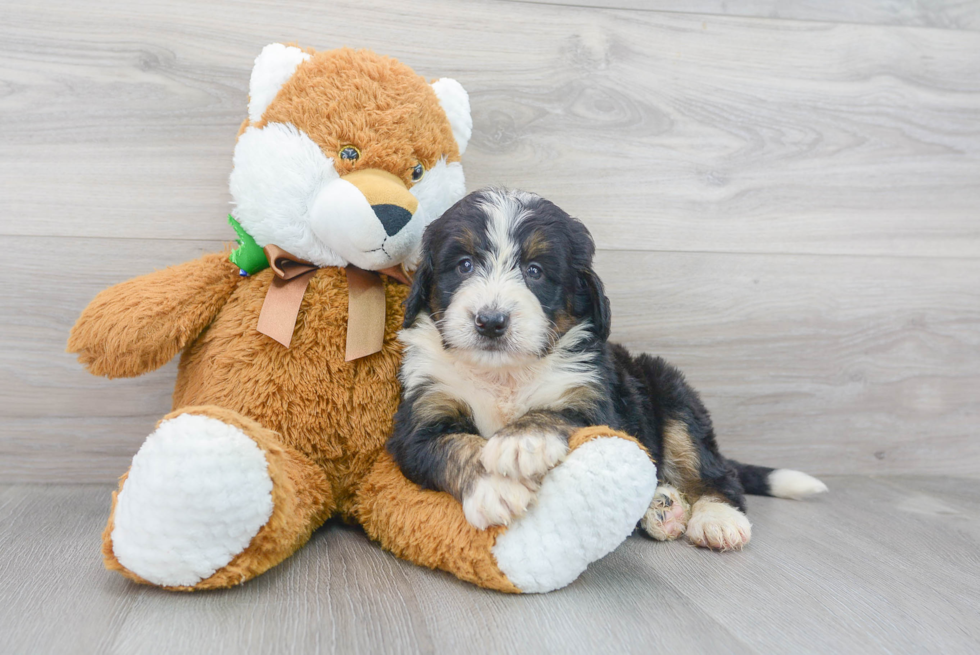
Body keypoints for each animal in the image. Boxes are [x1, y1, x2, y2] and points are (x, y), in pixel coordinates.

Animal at [390, 187, 828, 552]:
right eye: (464, 265)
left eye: (535, 271)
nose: (491, 321)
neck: (504, 374)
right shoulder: (420, 417)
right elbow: (454, 446)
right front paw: (495, 486)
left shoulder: (596, 399)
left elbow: (556, 413)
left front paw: (522, 442)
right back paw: (662, 507)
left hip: (673, 396)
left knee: (717, 475)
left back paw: (716, 520)